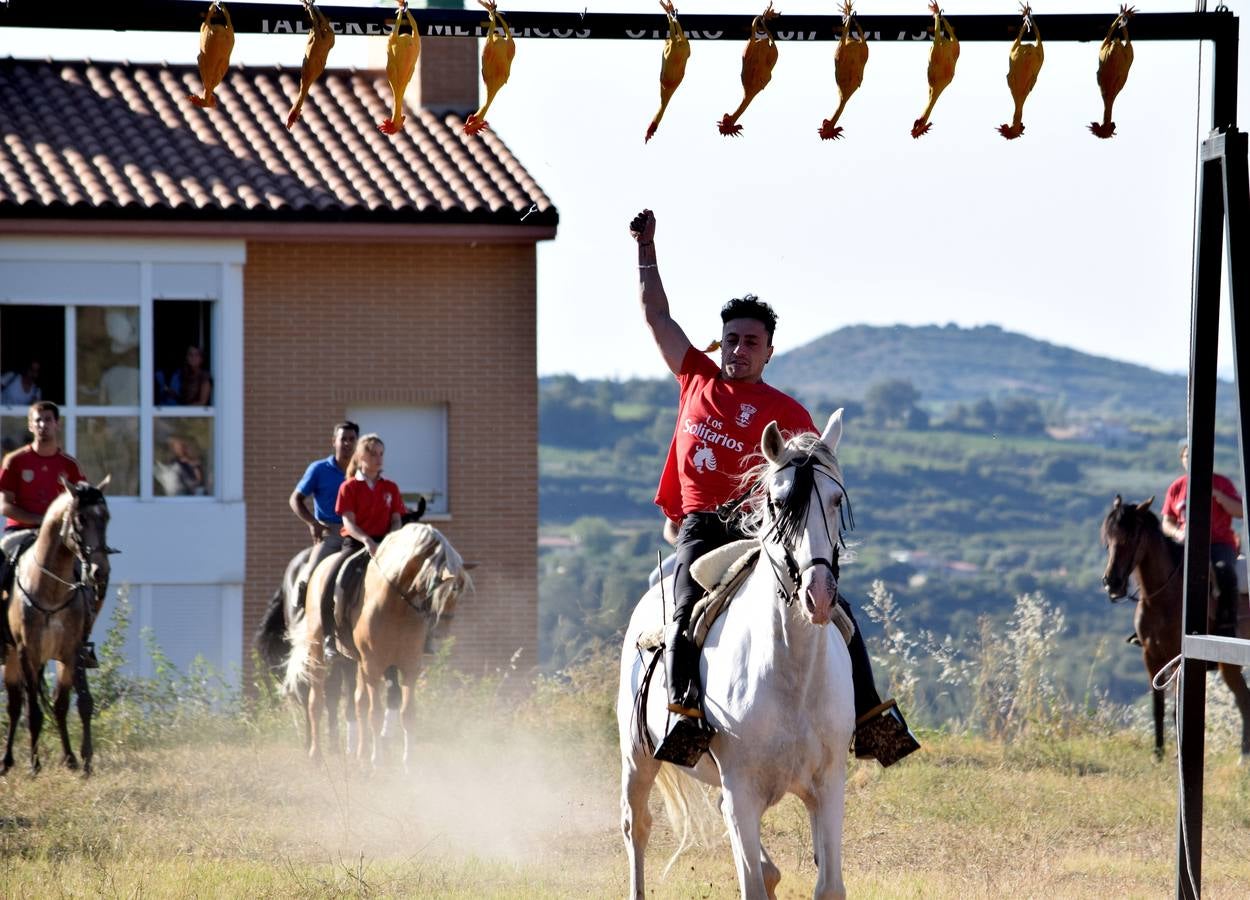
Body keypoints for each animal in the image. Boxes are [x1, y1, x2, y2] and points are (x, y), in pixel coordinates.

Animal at [3, 475, 113, 775]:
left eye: (106, 517)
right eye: (80, 519)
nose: (100, 571)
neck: (49, 589)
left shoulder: (72, 652)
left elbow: (69, 704)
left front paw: (77, 759)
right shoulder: (27, 652)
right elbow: (33, 711)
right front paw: (34, 765)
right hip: (12, 654)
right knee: (16, 704)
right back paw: (7, 761)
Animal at [283, 525, 470, 770]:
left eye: (459, 595)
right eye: (439, 591)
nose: (439, 634)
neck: (396, 604)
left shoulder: (409, 666)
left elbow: (407, 713)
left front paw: (408, 764)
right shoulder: (373, 665)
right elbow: (376, 713)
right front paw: (378, 762)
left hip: (358, 662)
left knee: (358, 702)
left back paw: (361, 753)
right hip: (319, 653)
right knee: (316, 702)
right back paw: (317, 755)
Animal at [617, 412, 855, 900]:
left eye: (837, 499)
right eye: (779, 503)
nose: (819, 594)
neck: (791, 678)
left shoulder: (828, 786)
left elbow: (827, 886)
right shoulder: (742, 791)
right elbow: (752, 885)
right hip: (637, 756)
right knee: (637, 827)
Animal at [1105, 495, 1250, 755]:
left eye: (1130, 538)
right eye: (1108, 539)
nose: (1112, 583)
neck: (1162, 598)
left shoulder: (1177, 657)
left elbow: (1176, 709)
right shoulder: (1151, 656)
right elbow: (1158, 706)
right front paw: (1158, 753)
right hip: (1229, 665)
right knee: (1244, 699)